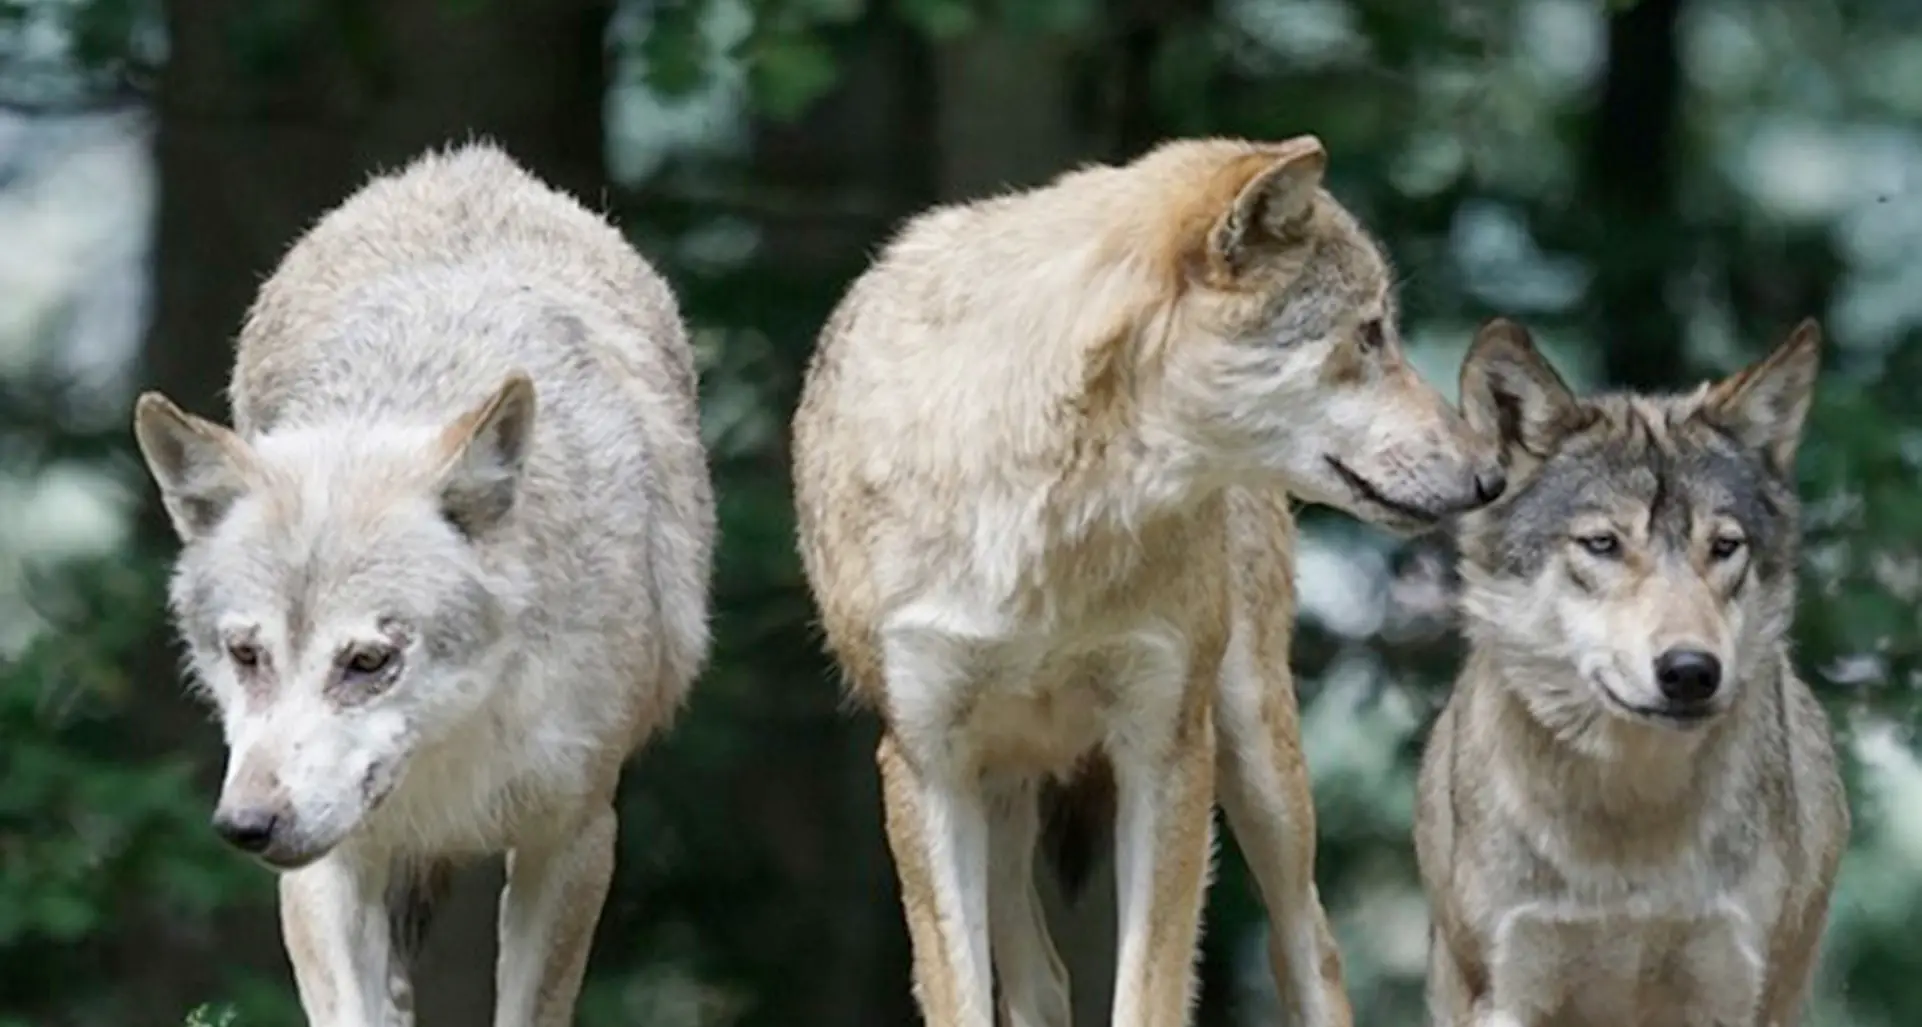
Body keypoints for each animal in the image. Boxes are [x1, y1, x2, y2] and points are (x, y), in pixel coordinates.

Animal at [130, 143, 715, 1027]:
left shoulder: (574, 838)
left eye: (369, 661)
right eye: (246, 653)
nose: (248, 824)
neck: (452, 748)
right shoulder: (330, 863)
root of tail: (465, 162)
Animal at [789, 134, 1507, 1027]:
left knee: (1310, 947)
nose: (1492, 476)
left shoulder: (1165, 751)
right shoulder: (925, 764)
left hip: (1257, 761)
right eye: (1371, 334)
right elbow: (963, 998)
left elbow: (1149, 994)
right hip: (1004, 789)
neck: (1051, 531)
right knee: (1042, 978)